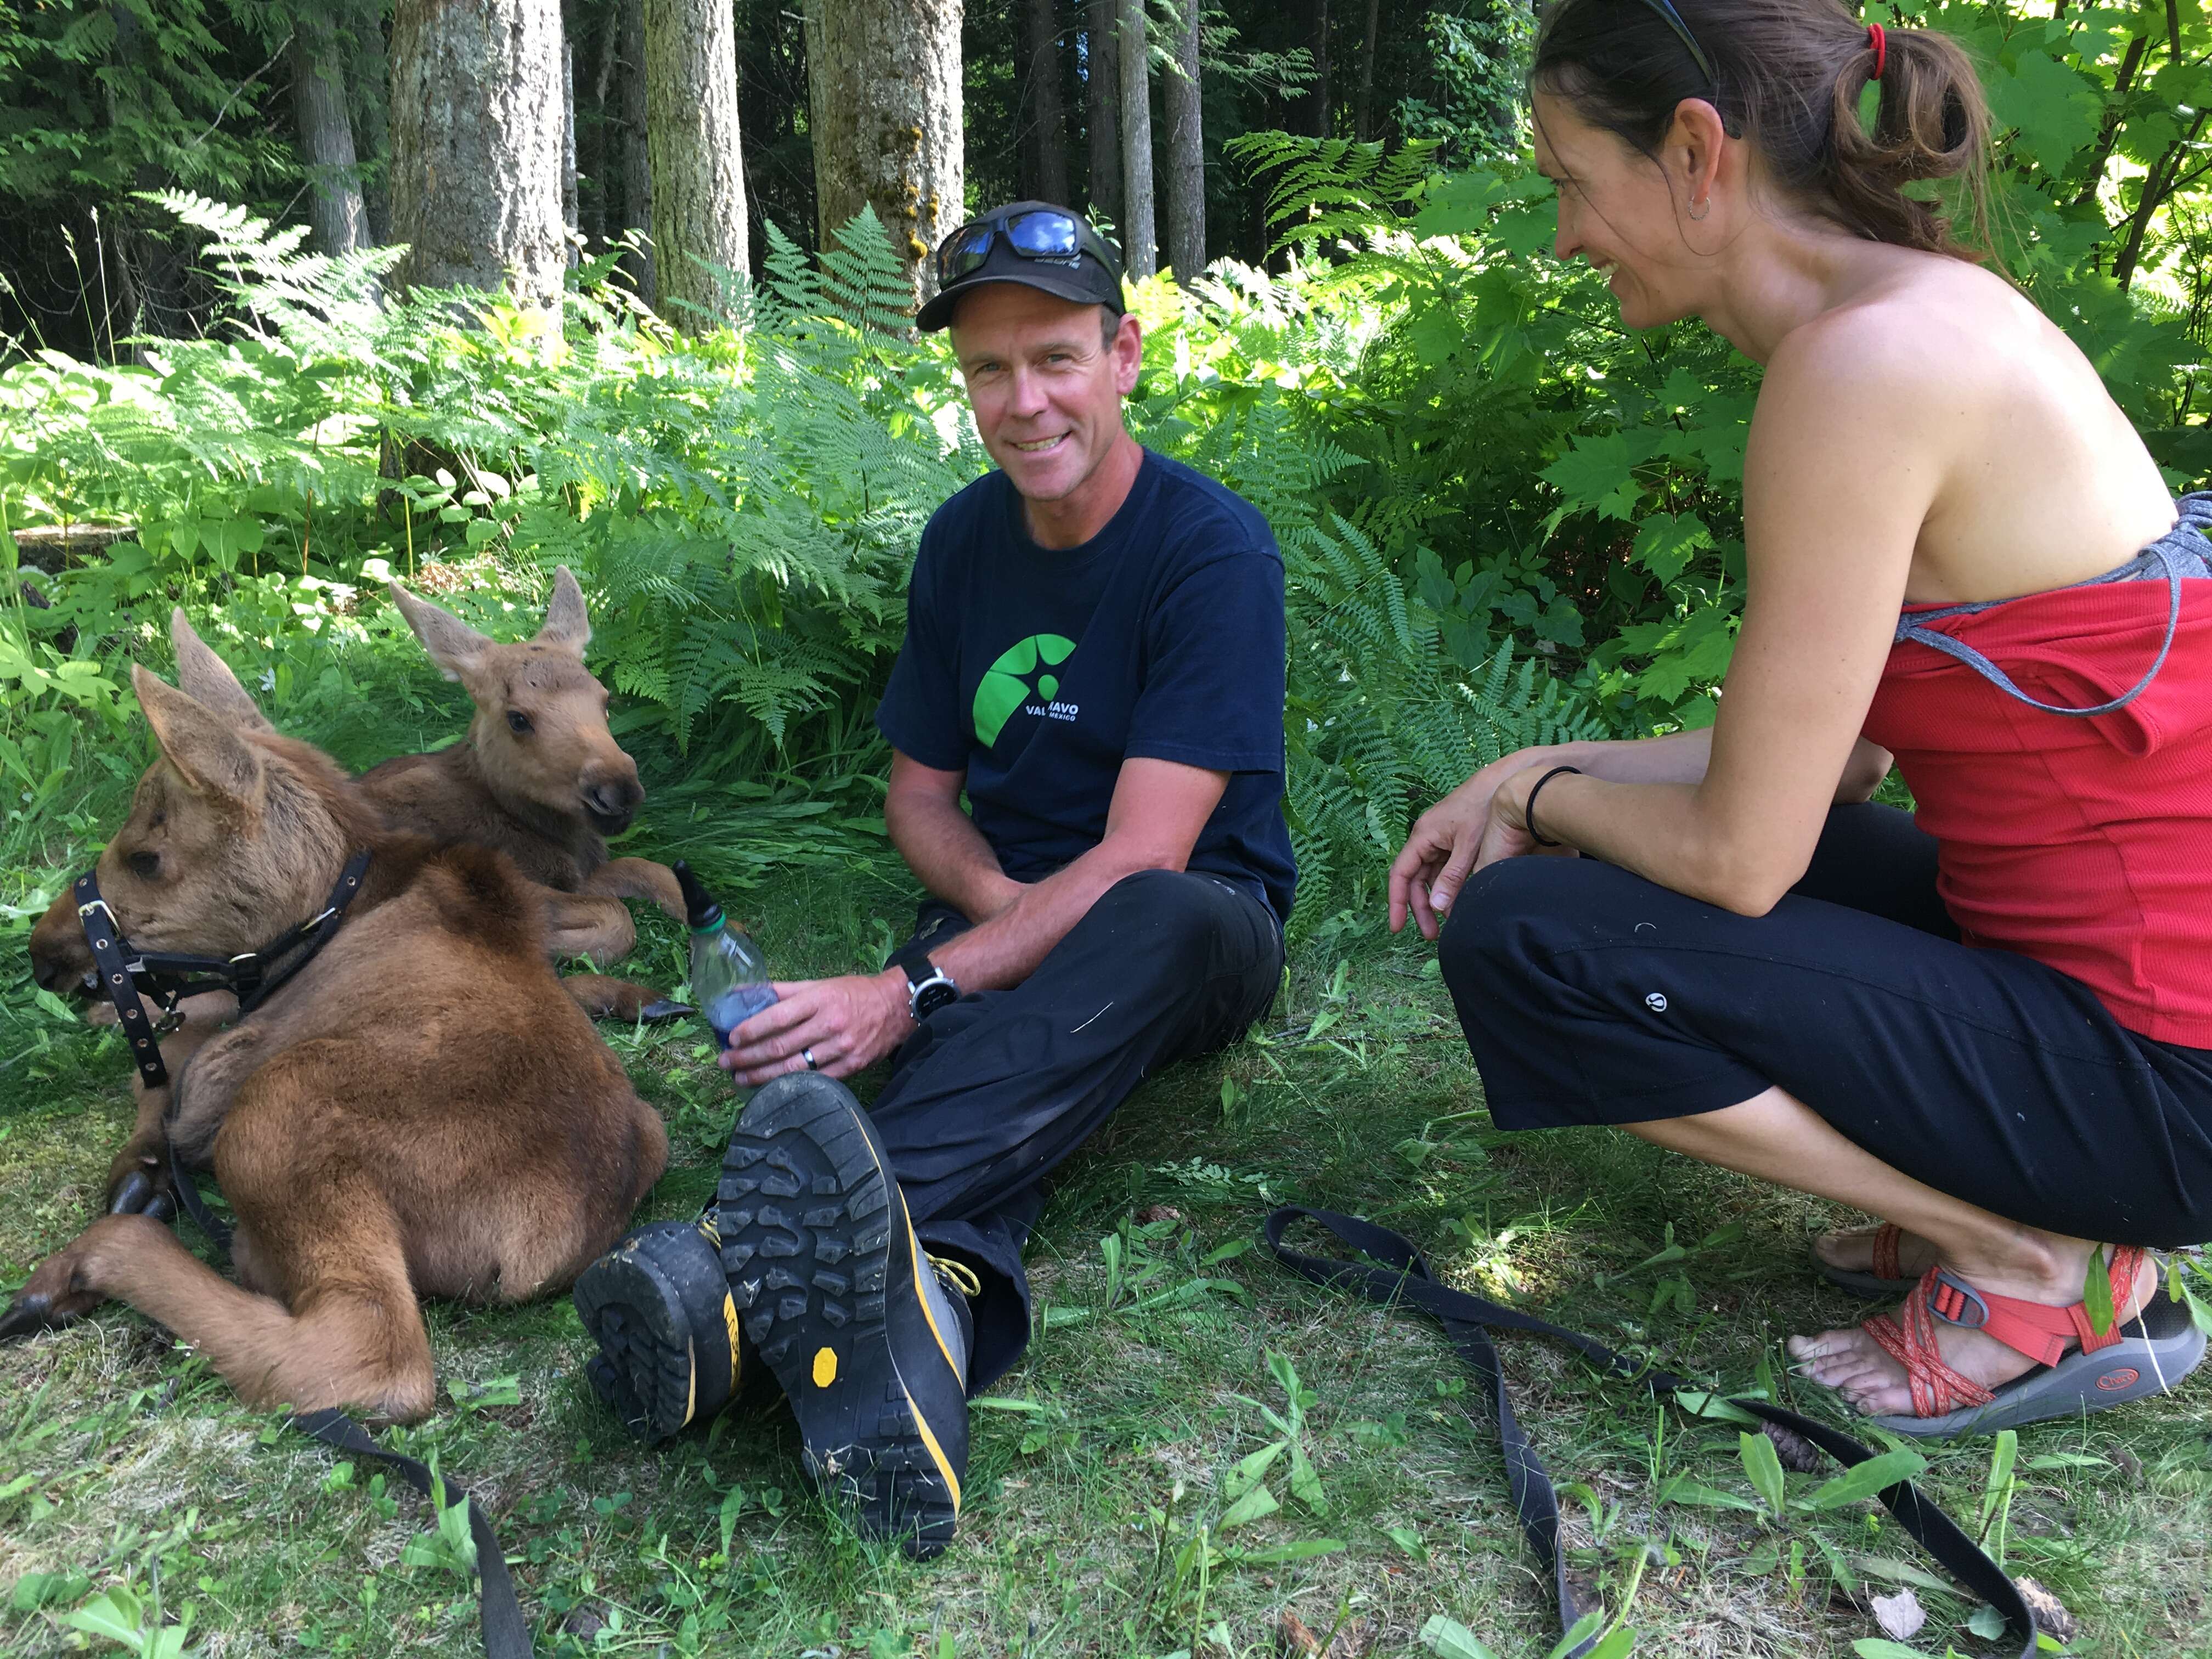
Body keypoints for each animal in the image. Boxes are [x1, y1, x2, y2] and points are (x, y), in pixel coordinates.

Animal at [8, 619, 663, 1424]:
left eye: (146, 857)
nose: (43, 952)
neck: (328, 910)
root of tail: (544, 1242)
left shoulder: (220, 1075)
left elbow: (161, 1078)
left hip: (275, 1109)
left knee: (370, 1358)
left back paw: (81, 1267)